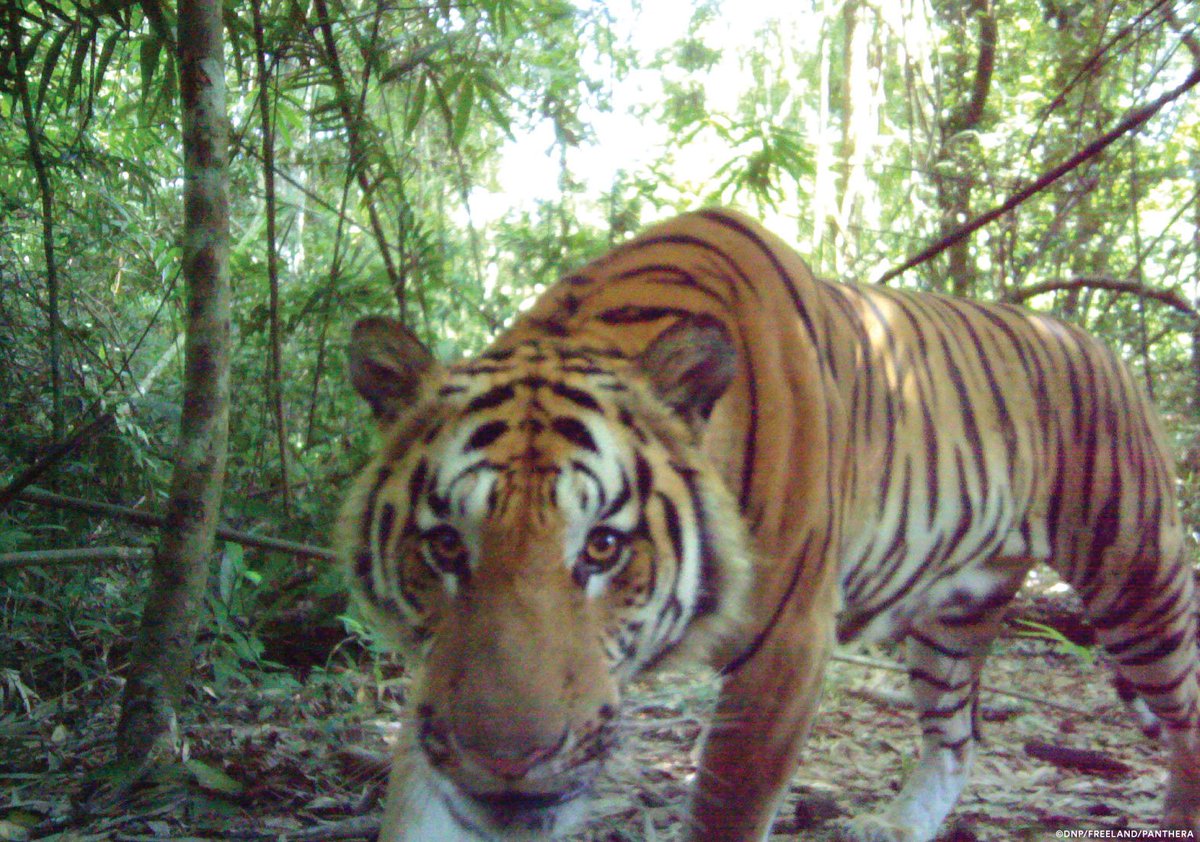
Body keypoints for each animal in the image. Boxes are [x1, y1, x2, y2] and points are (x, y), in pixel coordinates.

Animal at [338, 208, 1200, 841]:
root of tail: (1094, 340)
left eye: (604, 548)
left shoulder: (785, 650)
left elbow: (726, 810)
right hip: (952, 620)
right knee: (957, 738)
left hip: (1137, 583)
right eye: (445, 545)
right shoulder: (438, 681)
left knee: (1185, 706)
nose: (505, 761)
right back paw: (897, 824)